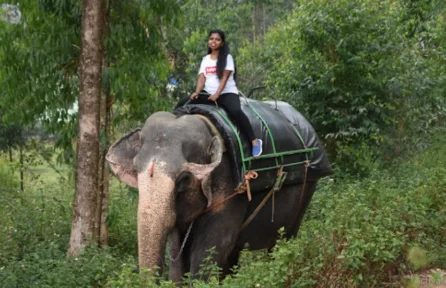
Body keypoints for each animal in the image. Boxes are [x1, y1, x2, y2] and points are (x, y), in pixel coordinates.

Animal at [107, 111, 324, 282]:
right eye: (136, 171)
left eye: (183, 179)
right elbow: (177, 255)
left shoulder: (229, 187)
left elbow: (209, 253)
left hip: (307, 189)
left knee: (283, 241)